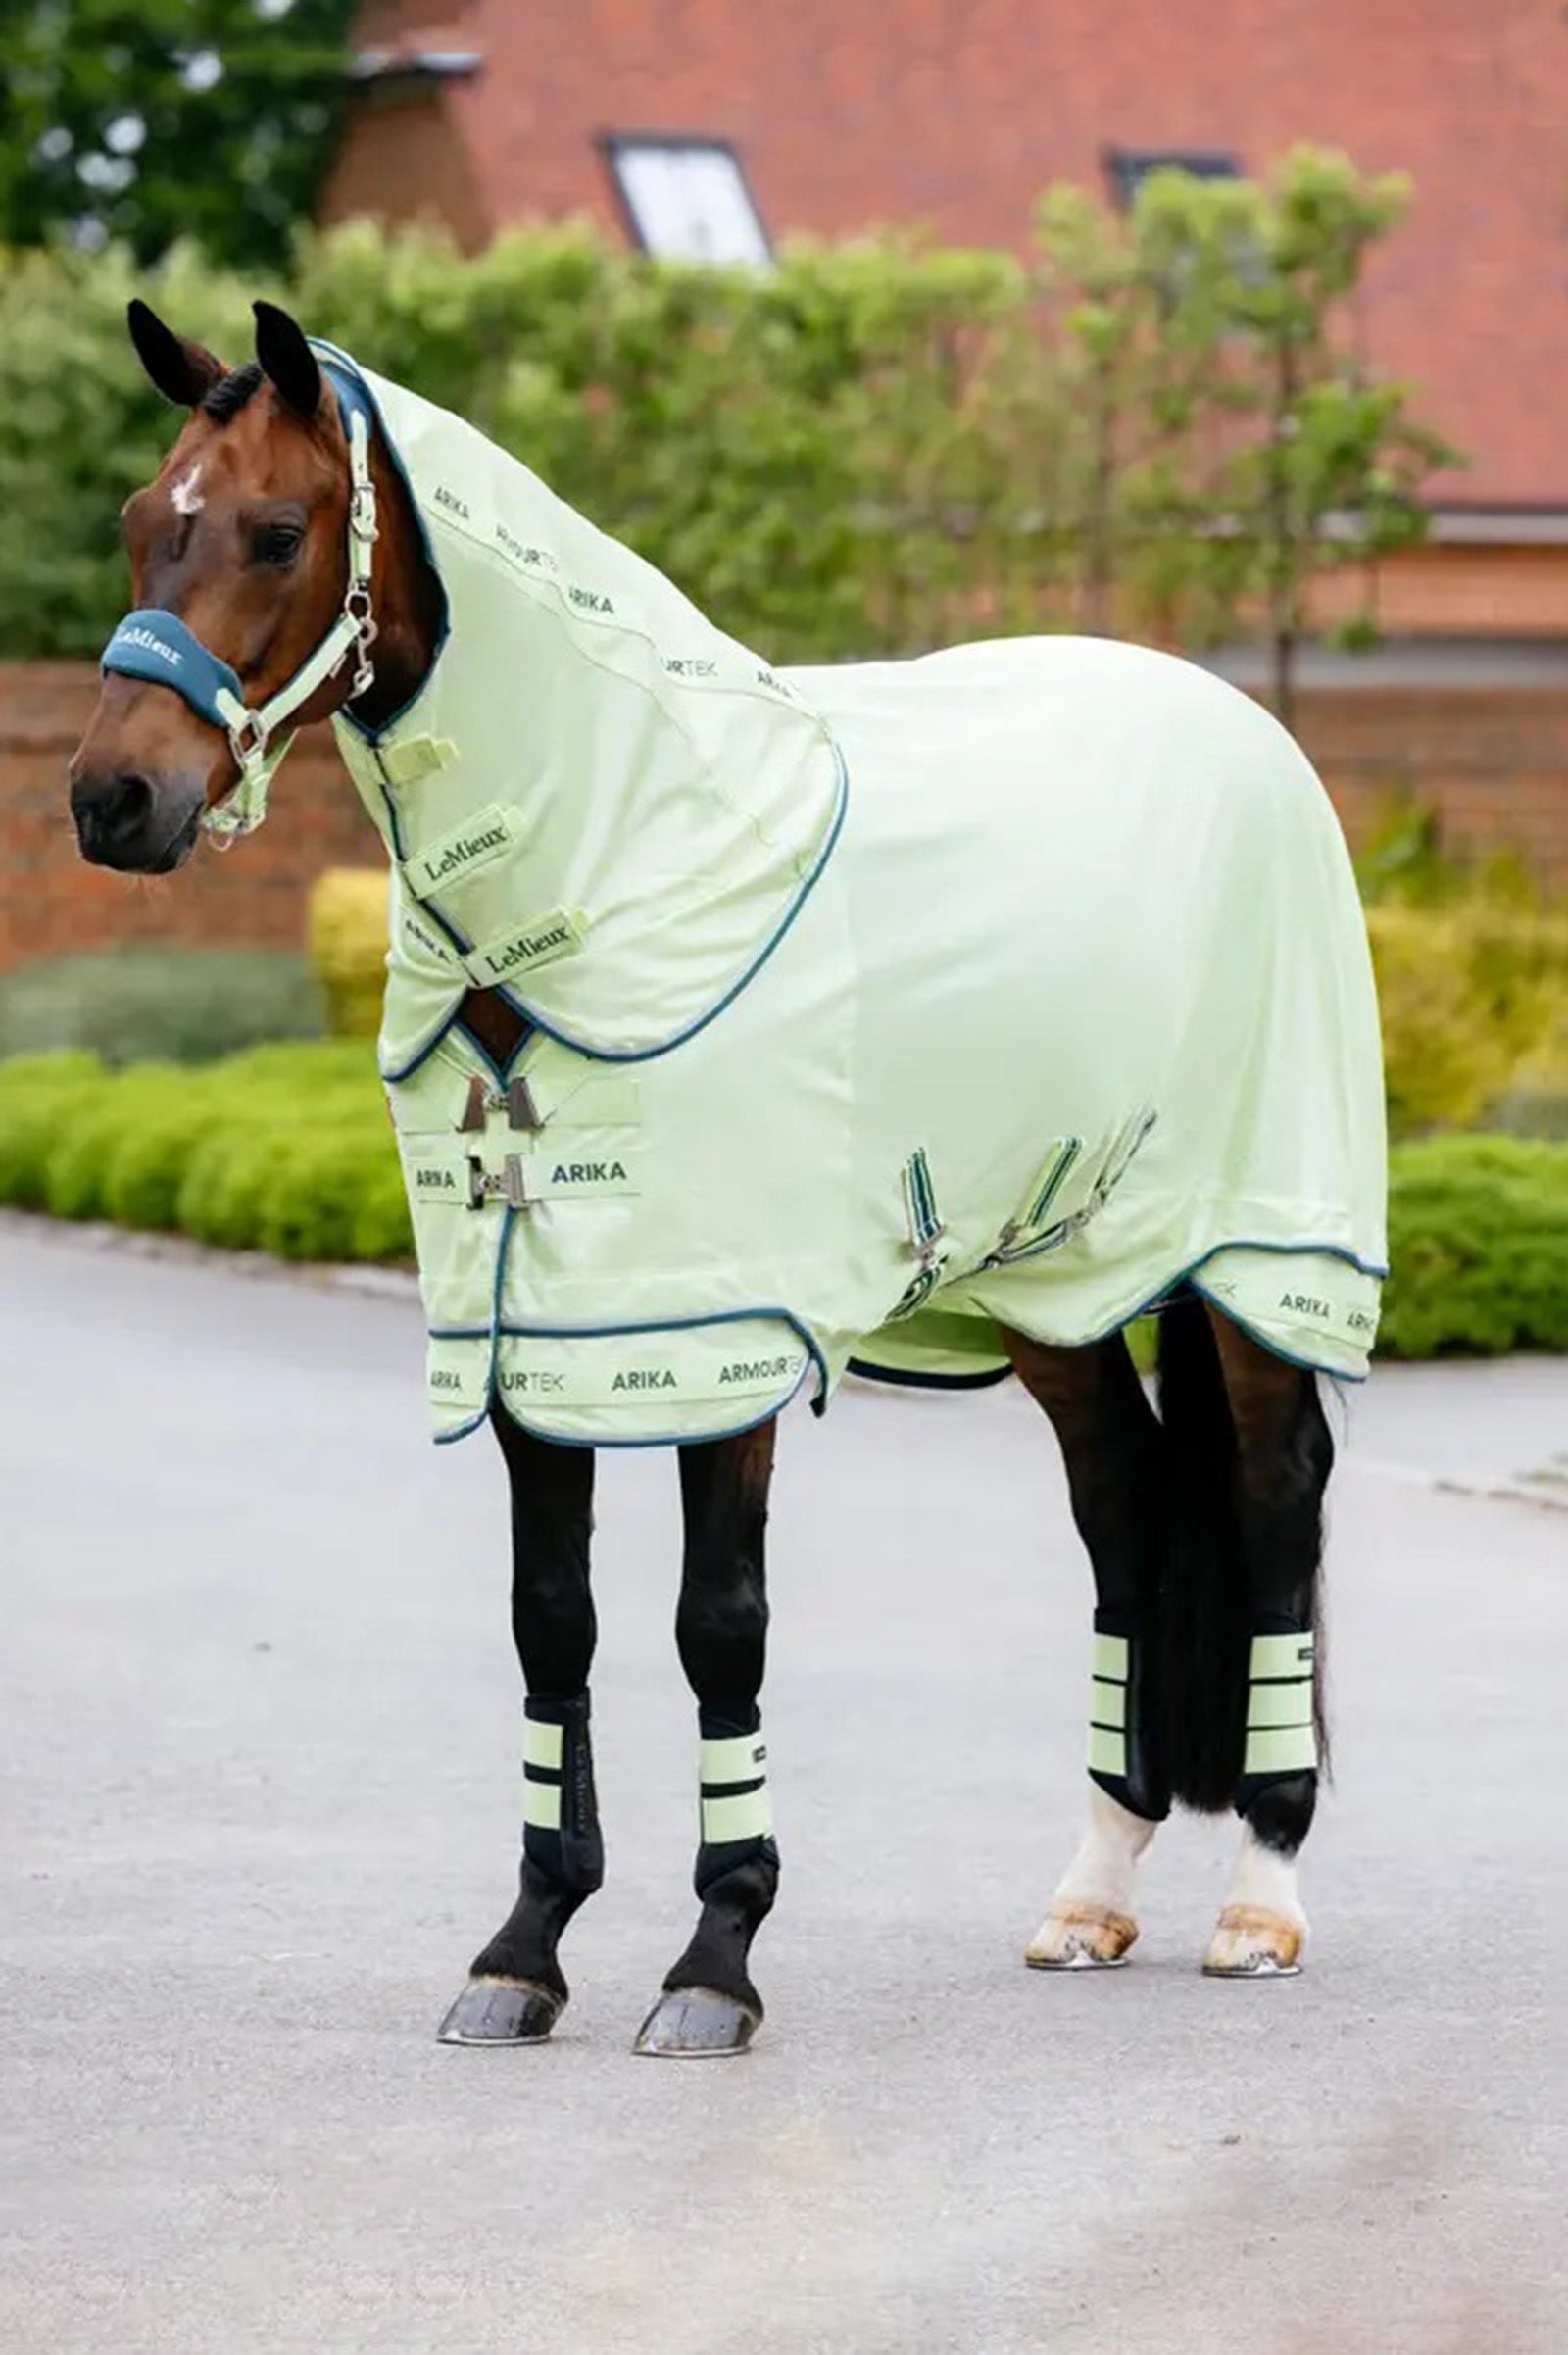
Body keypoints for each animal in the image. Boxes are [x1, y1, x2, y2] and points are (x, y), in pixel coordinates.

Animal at [66, 297, 1386, 2056]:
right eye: (146, 520)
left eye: (278, 531)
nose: (111, 798)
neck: (621, 855)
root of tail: (1250, 732)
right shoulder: (535, 1332)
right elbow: (552, 1617)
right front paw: (525, 1945)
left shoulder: (726, 1334)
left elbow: (719, 1624)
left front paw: (716, 1955)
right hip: (1057, 1275)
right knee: (1121, 1507)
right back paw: (1093, 1890)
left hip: (1257, 1258)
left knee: (1276, 1499)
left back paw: (1263, 1896)